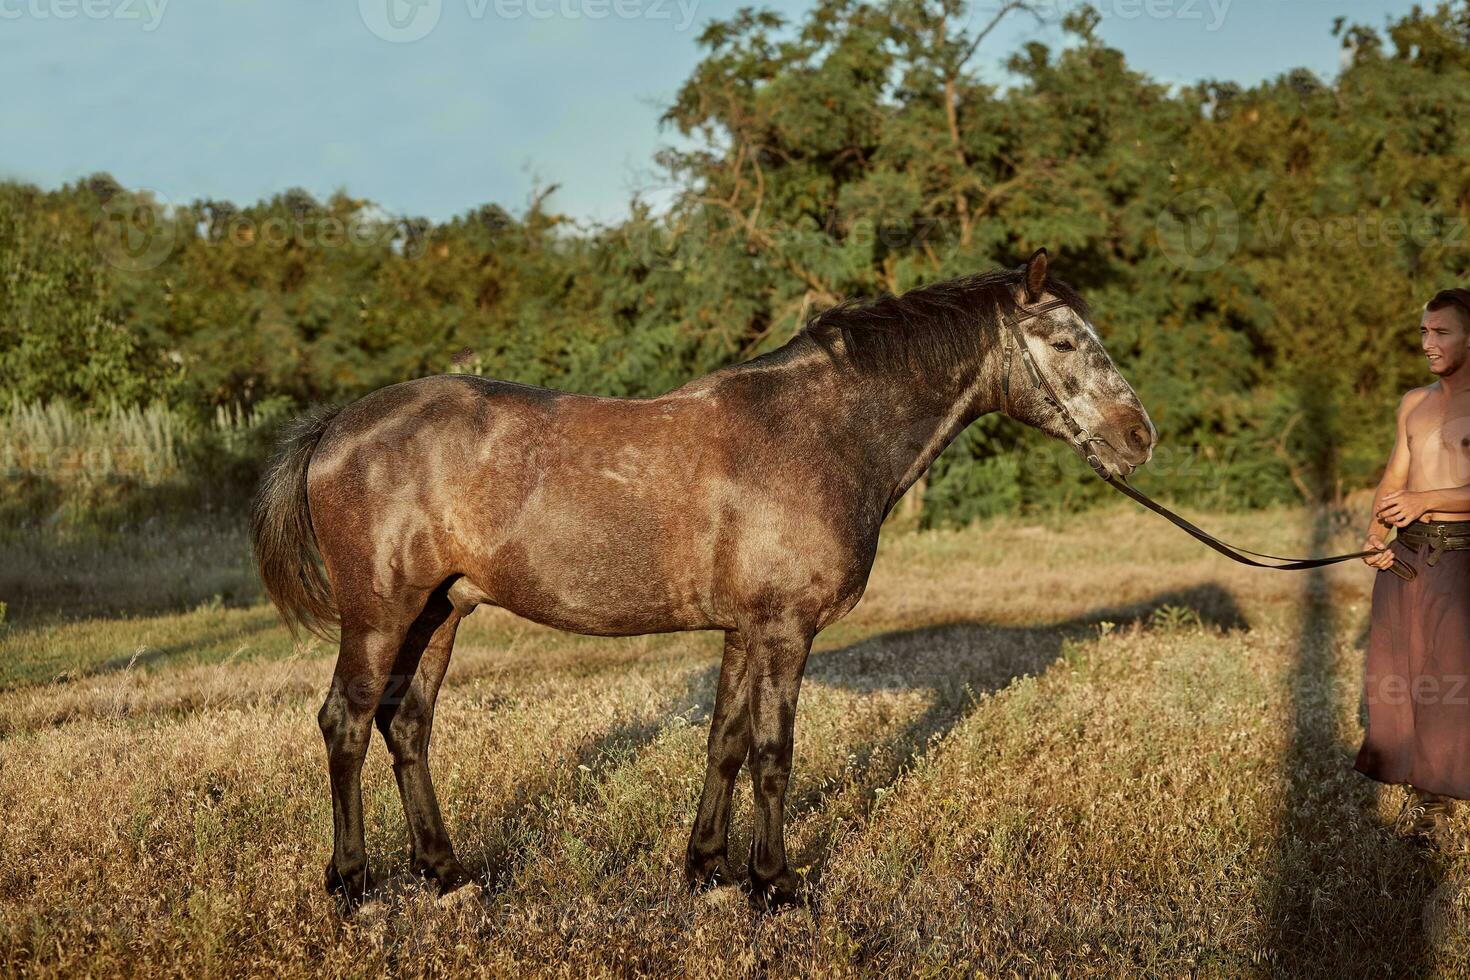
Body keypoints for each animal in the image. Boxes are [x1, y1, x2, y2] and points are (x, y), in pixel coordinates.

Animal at [246, 246, 1152, 910]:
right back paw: (353, 886)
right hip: (380, 616)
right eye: (1066, 343)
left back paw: (447, 872)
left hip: (438, 615)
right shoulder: (785, 629)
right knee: (345, 725)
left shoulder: (745, 630)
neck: (817, 433)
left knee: (407, 727)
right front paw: (775, 884)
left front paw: (706, 868)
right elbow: (774, 753)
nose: (1139, 436)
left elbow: (724, 743)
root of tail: (340, 424)